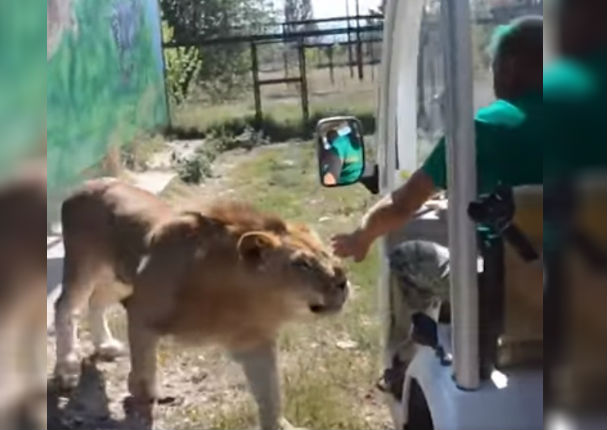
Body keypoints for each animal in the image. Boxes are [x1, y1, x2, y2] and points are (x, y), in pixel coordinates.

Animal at [54, 176, 350, 428]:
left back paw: (105, 345)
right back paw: (66, 370)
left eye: (325, 254)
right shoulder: (141, 314)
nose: (343, 281)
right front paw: (141, 397)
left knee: (97, 300)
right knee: (65, 307)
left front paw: (280, 424)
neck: (241, 300)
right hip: (84, 267)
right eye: (302, 264)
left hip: (120, 280)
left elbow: (270, 393)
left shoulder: (255, 343)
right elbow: (144, 371)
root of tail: (87, 183)